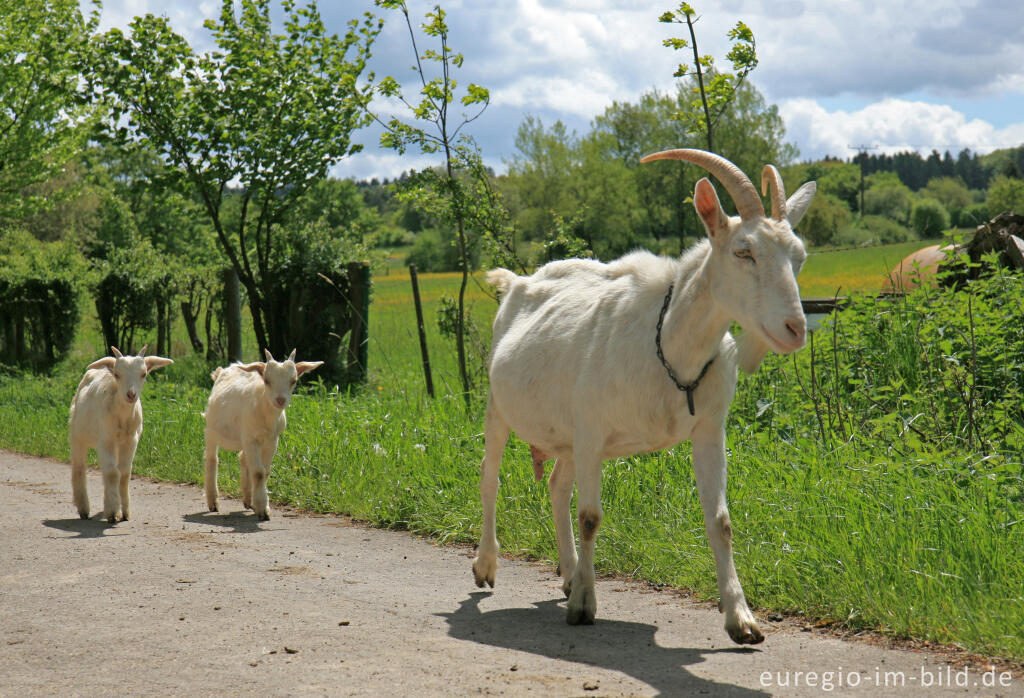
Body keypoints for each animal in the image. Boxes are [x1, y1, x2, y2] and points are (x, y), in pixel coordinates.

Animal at [69, 345, 174, 519]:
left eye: (144, 374)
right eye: (117, 375)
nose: (131, 394)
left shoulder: (131, 440)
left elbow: (124, 473)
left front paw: (123, 512)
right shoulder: (105, 440)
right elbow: (112, 473)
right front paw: (112, 512)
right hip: (77, 434)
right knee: (79, 467)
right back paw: (83, 508)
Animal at [202, 347, 321, 515]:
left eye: (294, 381)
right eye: (267, 380)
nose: (280, 400)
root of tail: (225, 369)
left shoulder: (272, 440)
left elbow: (264, 472)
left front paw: (261, 505)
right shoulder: (249, 438)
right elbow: (258, 472)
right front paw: (263, 511)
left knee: (243, 458)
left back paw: (248, 500)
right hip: (212, 430)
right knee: (212, 459)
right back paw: (213, 502)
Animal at [471, 146, 815, 642]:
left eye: (799, 257)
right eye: (743, 251)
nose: (795, 329)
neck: (667, 342)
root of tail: (518, 281)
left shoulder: (709, 428)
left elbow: (721, 522)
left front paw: (741, 619)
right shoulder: (592, 429)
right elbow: (590, 516)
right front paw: (584, 606)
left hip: (568, 434)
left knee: (557, 485)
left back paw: (568, 573)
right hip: (500, 405)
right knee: (490, 476)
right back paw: (486, 566)